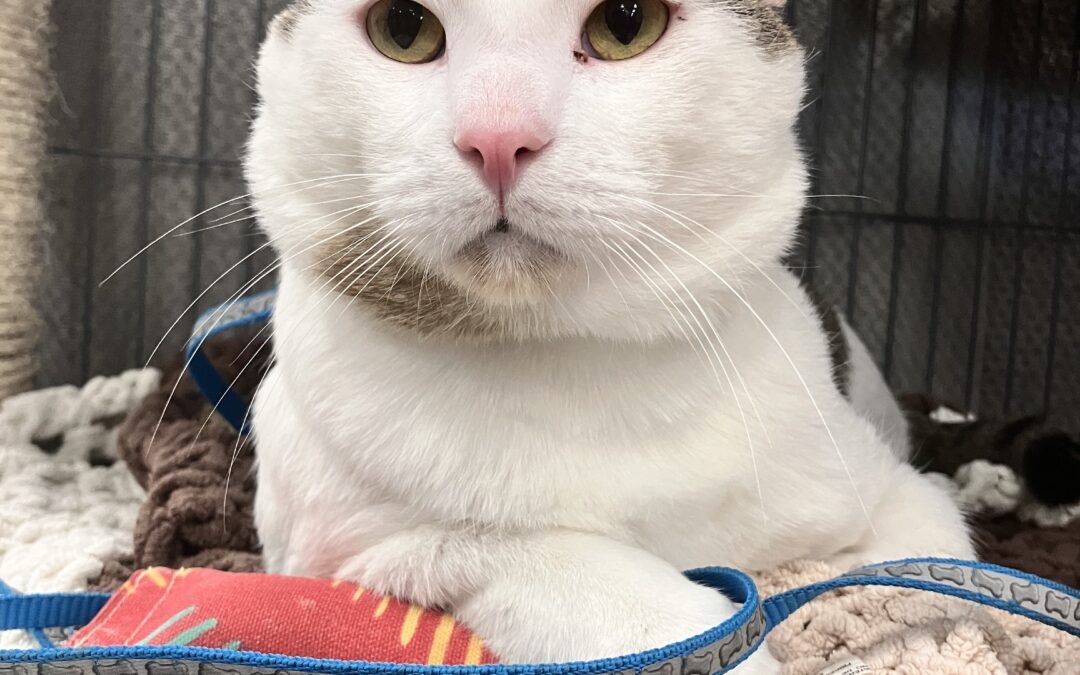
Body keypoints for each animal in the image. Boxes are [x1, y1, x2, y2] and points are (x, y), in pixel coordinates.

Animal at [246, 0, 974, 669]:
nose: (499, 137)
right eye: (403, 28)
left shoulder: (894, 495)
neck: (573, 363)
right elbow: (590, 580)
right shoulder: (332, 547)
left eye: (626, 24)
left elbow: (916, 579)